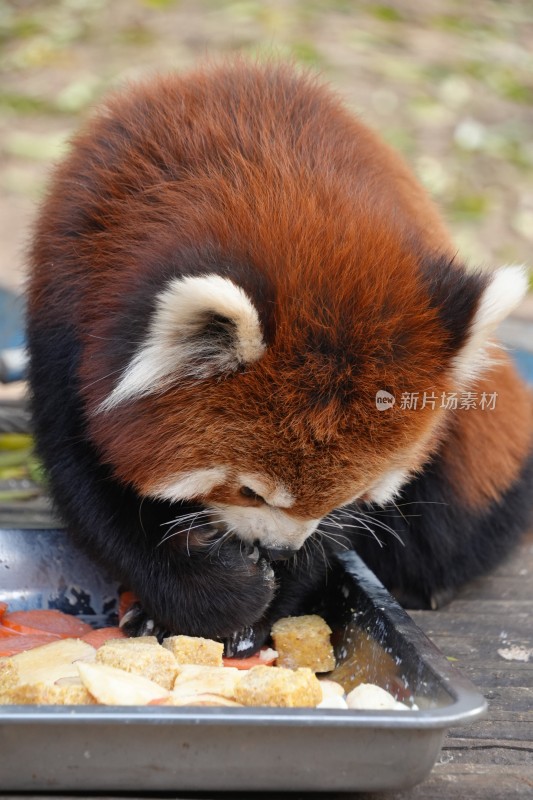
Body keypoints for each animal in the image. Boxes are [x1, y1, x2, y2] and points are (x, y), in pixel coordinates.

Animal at [28, 61, 532, 648]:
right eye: (249, 490)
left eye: (352, 492)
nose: (278, 549)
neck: (272, 179)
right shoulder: (67, 305)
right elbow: (93, 491)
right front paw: (210, 597)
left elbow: (337, 538)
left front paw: (268, 604)